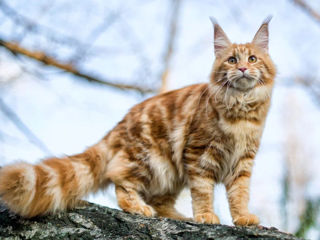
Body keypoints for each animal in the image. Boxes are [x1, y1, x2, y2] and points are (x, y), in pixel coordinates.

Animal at [0, 17, 276, 226]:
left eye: (252, 59)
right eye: (232, 60)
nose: (242, 69)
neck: (241, 110)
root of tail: (118, 127)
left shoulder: (243, 161)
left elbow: (239, 194)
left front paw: (243, 218)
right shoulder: (199, 154)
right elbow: (203, 192)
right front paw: (206, 215)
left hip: (171, 173)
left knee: (160, 201)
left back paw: (178, 216)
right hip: (149, 160)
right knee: (120, 183)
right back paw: (138, 208)